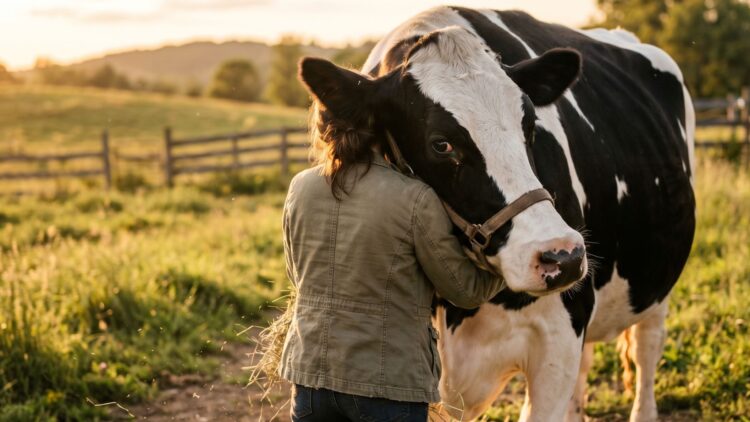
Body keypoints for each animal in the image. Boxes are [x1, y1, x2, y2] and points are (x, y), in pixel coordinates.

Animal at [298, 6, 695, 421]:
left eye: (530, 125)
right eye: (441, 144)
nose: (563, 256)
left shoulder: (558, 335)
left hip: (656, 283)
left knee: (646, 350)